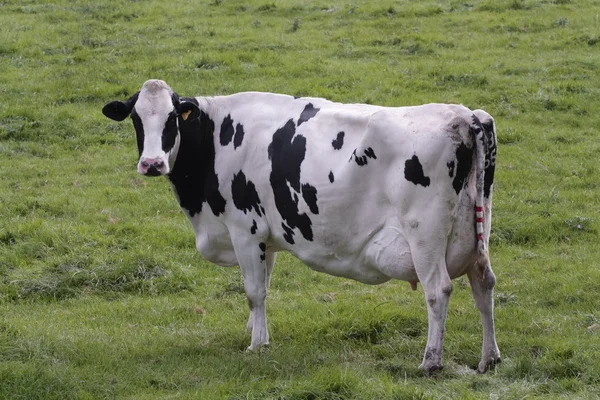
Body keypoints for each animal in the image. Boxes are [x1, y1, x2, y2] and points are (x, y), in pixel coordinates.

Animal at [103, 79, 502, 376]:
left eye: (173, 119)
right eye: (137, 119)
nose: (152, 164)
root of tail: (464, 114)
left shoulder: (244, 228)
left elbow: (253, 291)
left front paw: (256, 345)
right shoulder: (265, 237)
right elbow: (263, 287)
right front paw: (257, 331)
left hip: (425, 234)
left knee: (438, 290)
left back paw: (430, 362)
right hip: (478, 229)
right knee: (483, 281)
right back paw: (489, 358)